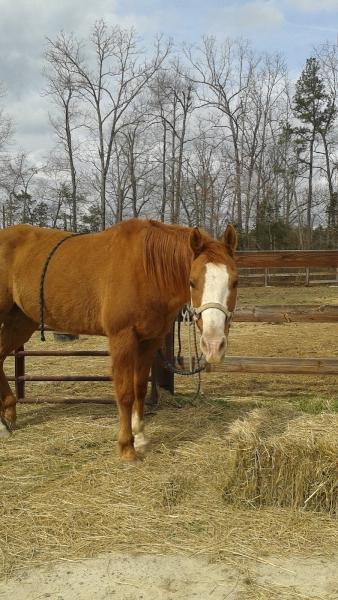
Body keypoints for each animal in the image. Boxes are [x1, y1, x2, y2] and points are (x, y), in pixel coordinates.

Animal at [0, 220, 238, 460]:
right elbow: (125, 393)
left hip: (21, 322)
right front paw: (126, 447)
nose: (213, 345)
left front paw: (140, 437)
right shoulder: (122, 339)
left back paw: (8, 416)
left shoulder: (149, 341)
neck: (147, 270)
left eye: (235, 282)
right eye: (192, 282)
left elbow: (139, 388)